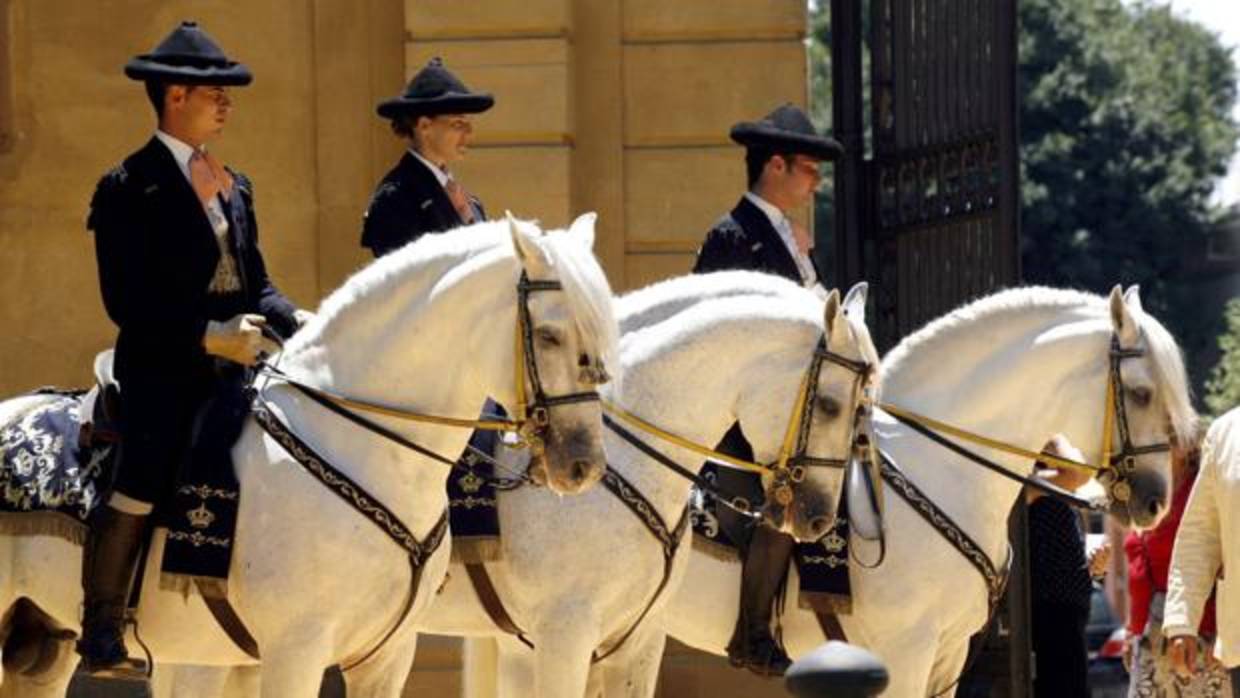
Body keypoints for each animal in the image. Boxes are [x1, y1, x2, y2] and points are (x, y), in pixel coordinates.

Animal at [0, 214, 620, 698]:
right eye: (550, 335)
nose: (583, 463)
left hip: (44, 643)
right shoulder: (294, 650)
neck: (364, 447)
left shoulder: (384, 656)